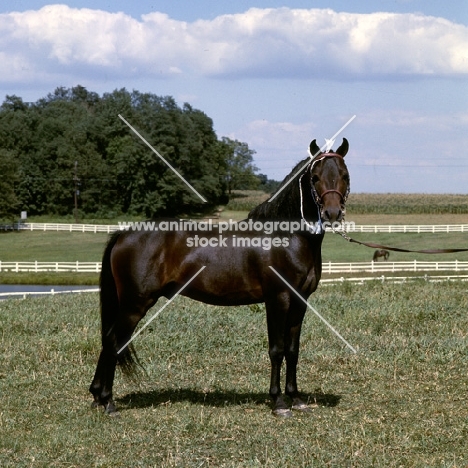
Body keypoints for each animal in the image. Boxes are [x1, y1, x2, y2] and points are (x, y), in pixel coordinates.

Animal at [89, 137, 350, 414]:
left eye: (344, 175)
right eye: (315, 177)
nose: (332, 213)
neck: (286, 237)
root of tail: (123, 234)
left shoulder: (300, 301)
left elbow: (292, 350)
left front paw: (296, 398)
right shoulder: (278, 299)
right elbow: (277, 349)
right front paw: (278, 402)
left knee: (108, 339)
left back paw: (97, 396)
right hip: (134, 303)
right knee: (113, 341)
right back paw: (107, 400)